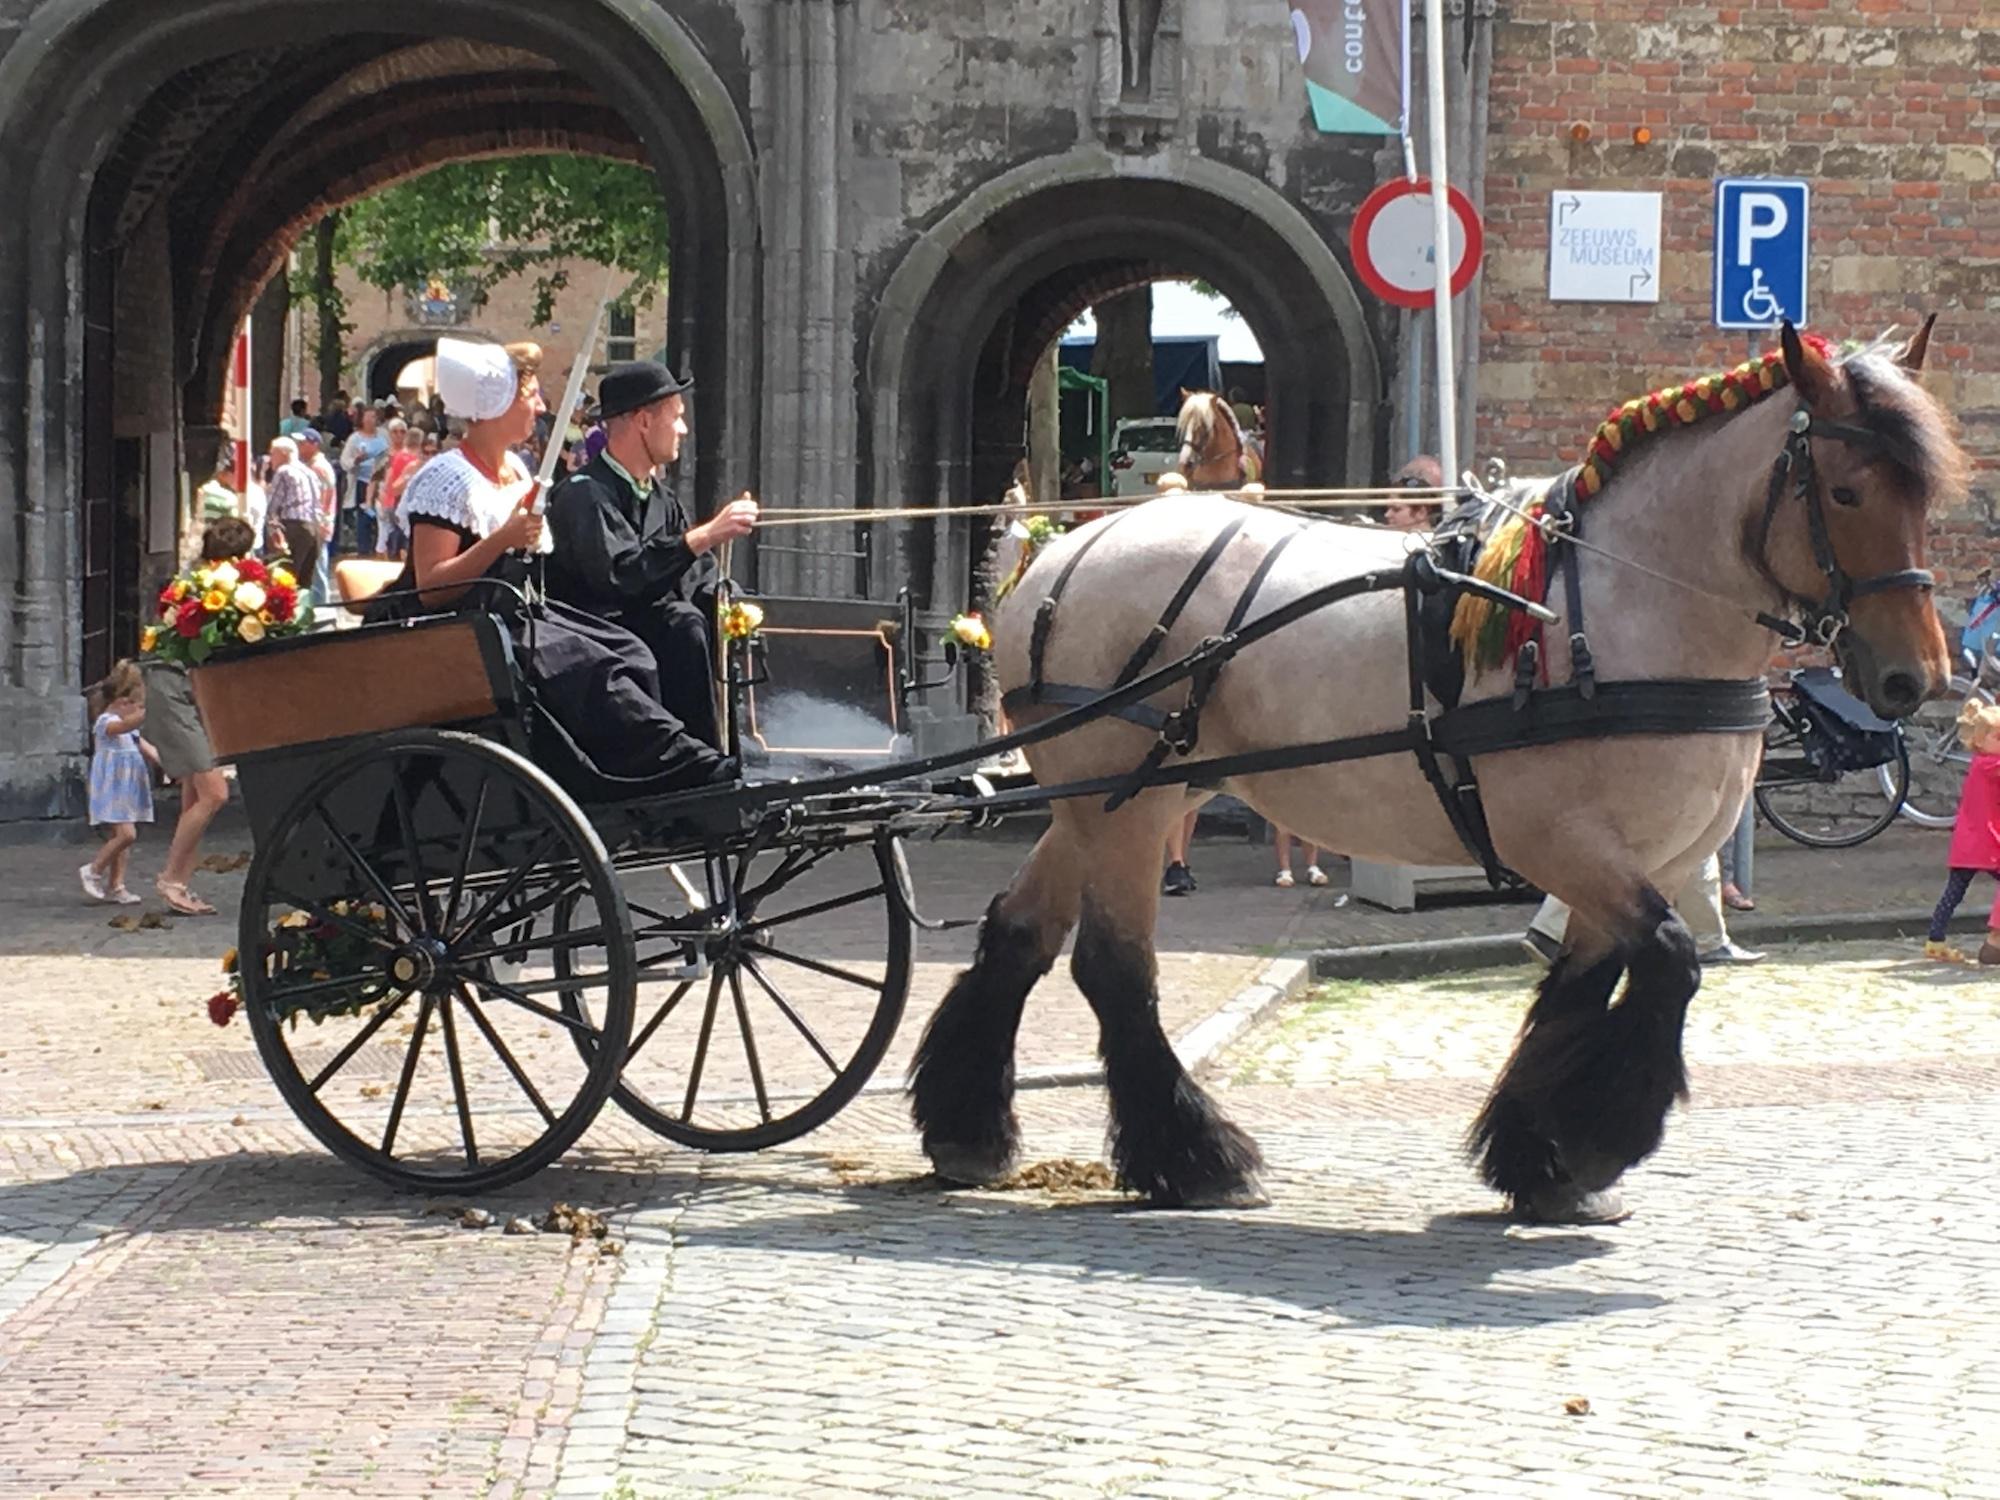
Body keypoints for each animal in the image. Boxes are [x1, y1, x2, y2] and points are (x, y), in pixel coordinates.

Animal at [912, 320, 1968, 1224]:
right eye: (1844, 491)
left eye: (1928, 495)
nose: (1915, 678)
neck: (1614, 610)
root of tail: (1064, 554)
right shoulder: (1565, 842)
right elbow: (1668, 961)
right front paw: (1597, 1139)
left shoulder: (1643, 861)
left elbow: (1580, 988)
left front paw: (1541, 1159)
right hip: (1125, 805)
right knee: (1111, 965)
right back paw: (1195, 1157)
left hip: (1109, 797)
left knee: (1020, 932)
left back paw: (970, 1132)